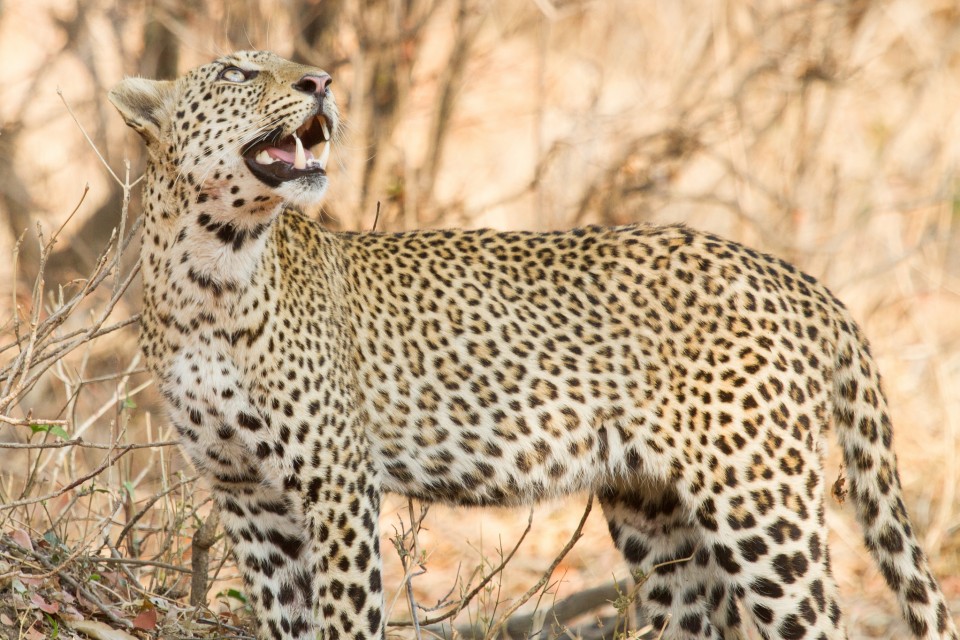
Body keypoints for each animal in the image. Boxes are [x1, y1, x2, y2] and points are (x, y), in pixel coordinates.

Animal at [108, 50, 958, 640]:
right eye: (238, 71)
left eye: (288, 68)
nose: (321, 82)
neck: (211, 268)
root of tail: (799, 279)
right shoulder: (246, 494)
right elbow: (290, 618)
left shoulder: (336, 483)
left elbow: (348, 616)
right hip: (657, 518)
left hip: (761, 500)